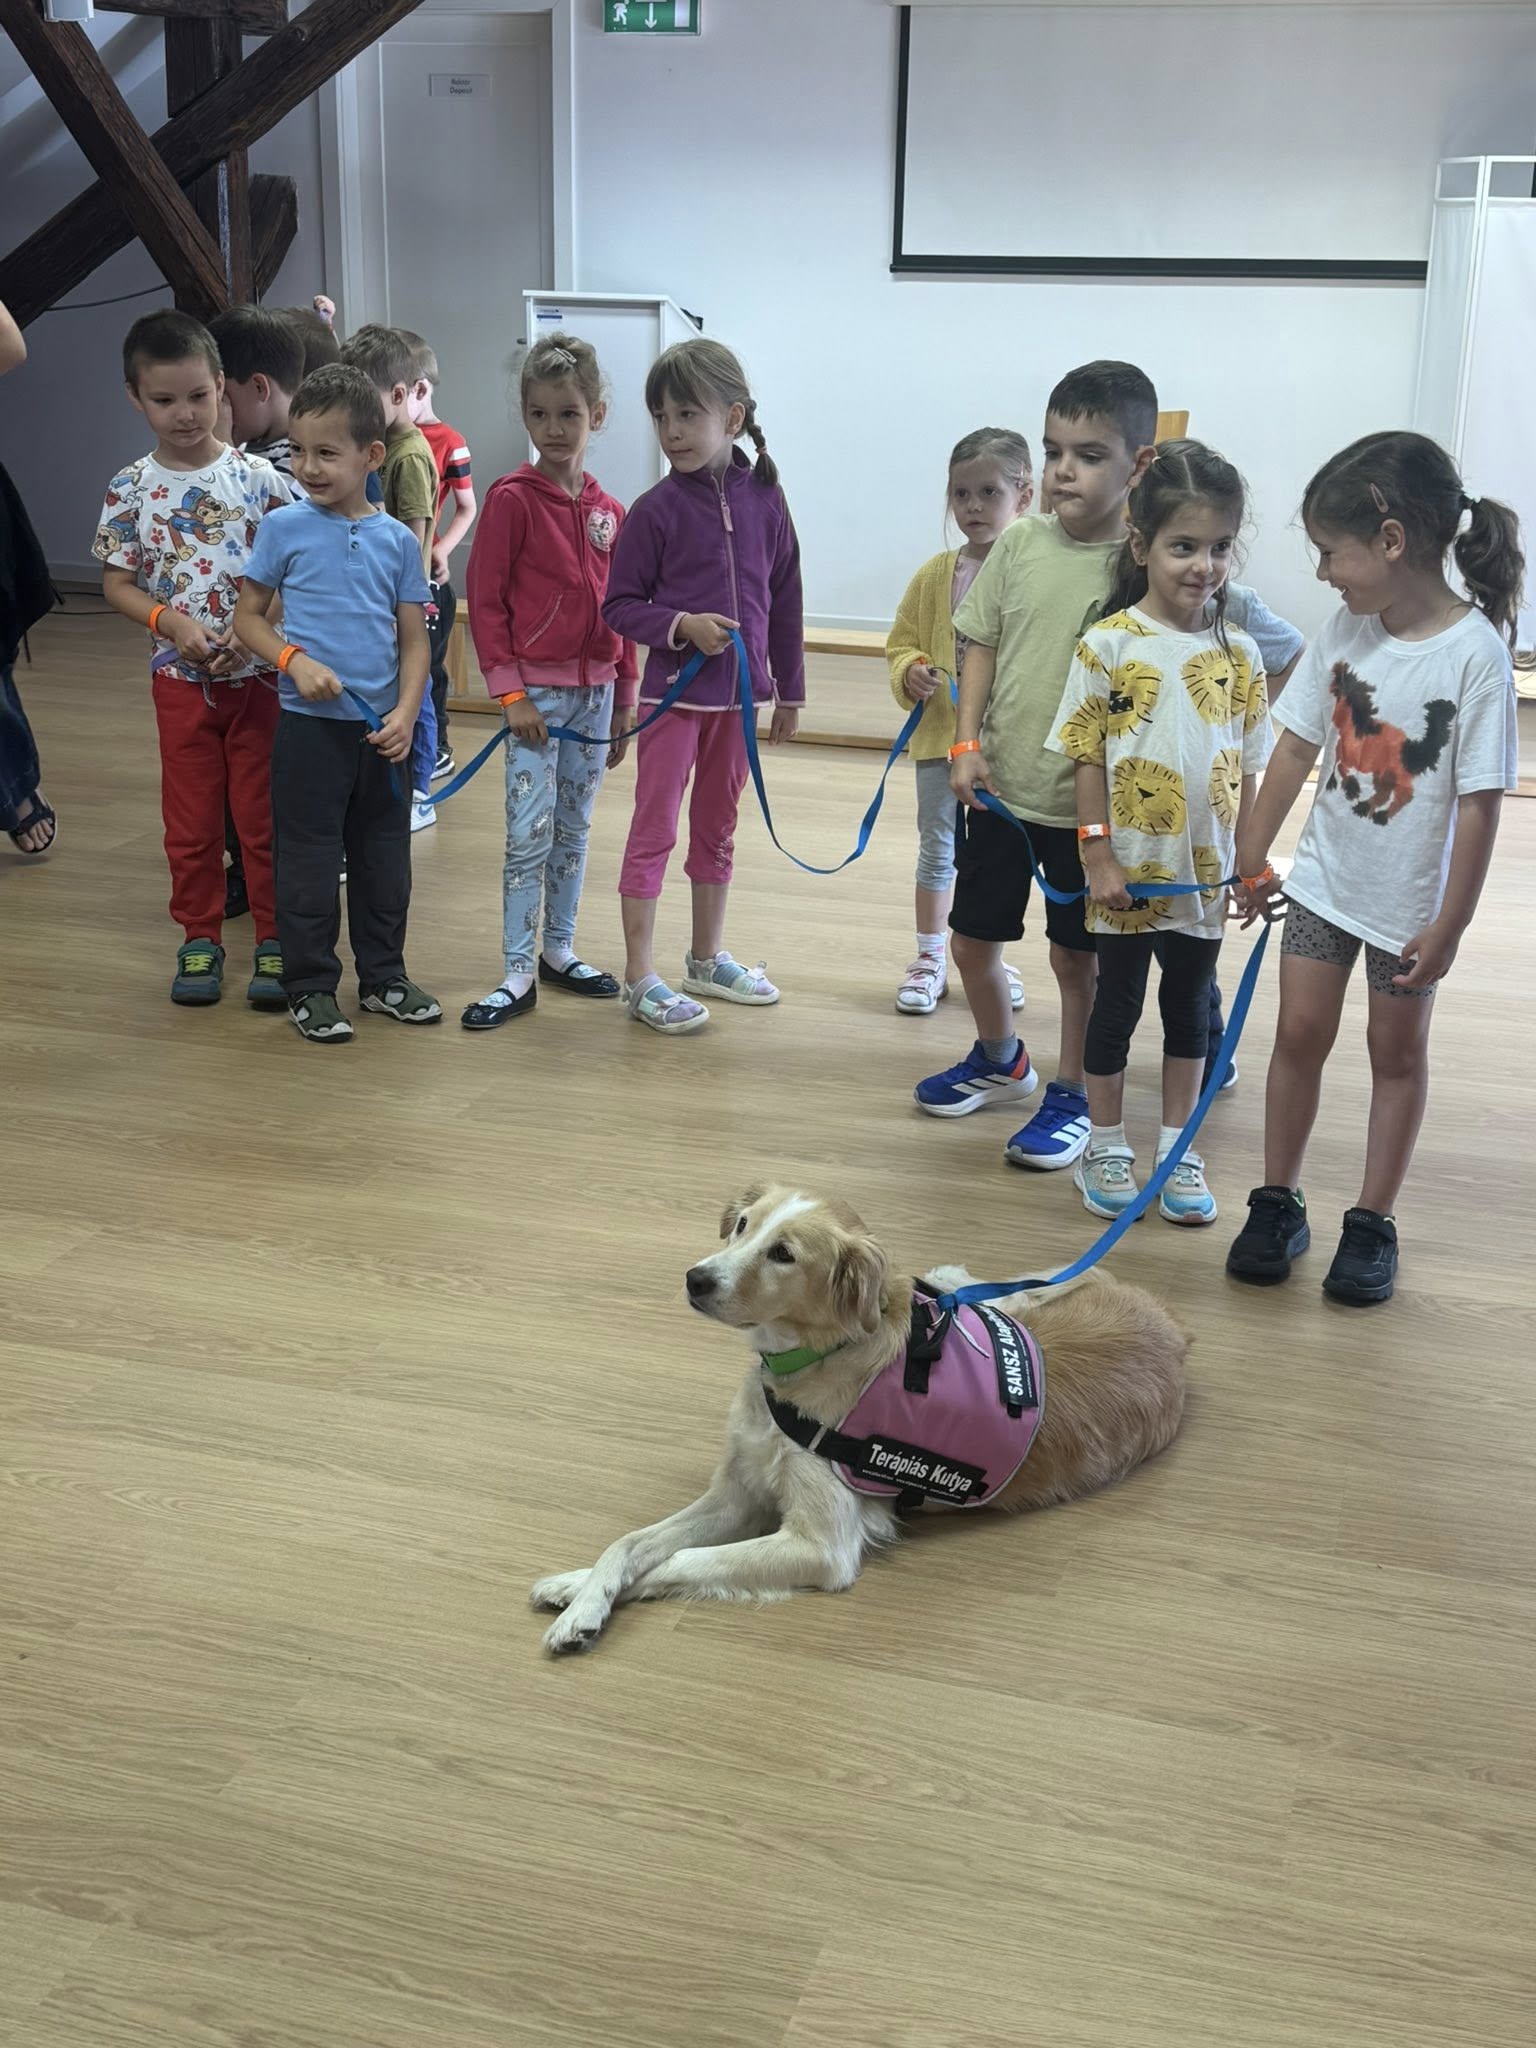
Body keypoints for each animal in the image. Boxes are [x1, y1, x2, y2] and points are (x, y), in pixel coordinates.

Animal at [530, 1185, 1188, 1653]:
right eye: (744, 1225)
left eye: (784, 1254)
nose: (695, 1278)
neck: (808, 1363)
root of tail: (1171, 1323)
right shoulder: (737, 1493)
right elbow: (632, 1541)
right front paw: (580, 1591)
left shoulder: (821, 1545)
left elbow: (676, 1561)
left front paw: (584, 1602)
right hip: (979, 1290)